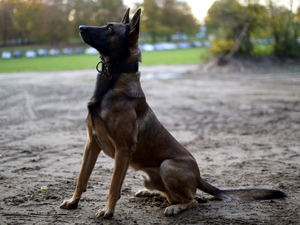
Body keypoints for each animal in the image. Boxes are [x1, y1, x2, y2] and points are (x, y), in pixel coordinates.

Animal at [59, 8, 286, 218]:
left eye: (109, 29)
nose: (80, 27)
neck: (112, 83)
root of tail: (198, 175)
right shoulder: (91, 144)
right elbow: (81, 178)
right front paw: (73, 201)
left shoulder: (123, 150)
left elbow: (114, 186)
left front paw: (108, 211)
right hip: (149, 177)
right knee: (172, 195)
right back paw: (149, 193)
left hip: (167, 166)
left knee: (192, 200)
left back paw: (175, 208)